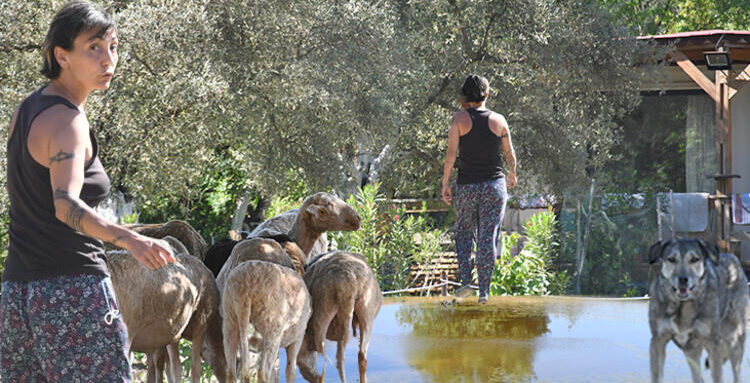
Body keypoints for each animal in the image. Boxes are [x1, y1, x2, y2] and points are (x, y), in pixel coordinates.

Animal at [220, 249, 314, 380]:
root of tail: (246, 285)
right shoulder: (297, 339)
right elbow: (291, 371)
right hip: (273, 327)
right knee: (263, 372)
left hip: (230, 318)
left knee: (231, 371)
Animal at [648, 238, 748, 382]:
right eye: (671, 259)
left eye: (694, 259)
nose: (683, 279)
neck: (682, 307)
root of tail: (732, 257)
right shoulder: (657, 341)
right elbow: (656, 377)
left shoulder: (714, 344)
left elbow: (718, 377)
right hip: (691, 350)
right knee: (698, 378)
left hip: (735, 339)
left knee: (737, 373)